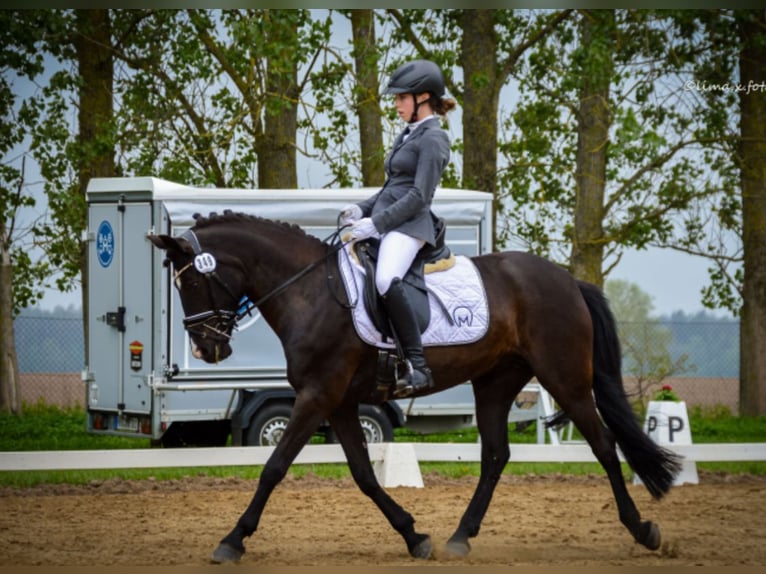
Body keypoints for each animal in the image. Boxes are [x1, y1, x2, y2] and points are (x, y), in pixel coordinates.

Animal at [150, 210, 684, 564]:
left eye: (191, 283)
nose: (207, 350)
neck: (310, 292)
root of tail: (569, 281)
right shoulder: (338, 402)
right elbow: (364, 475)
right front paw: (413, 535)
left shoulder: (318, 396)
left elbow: (273, 468)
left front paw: (232, 540)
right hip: (495, 383)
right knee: (496, 455)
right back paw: (460, 536)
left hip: (566, 380)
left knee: (604, 445)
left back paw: (642, 529)